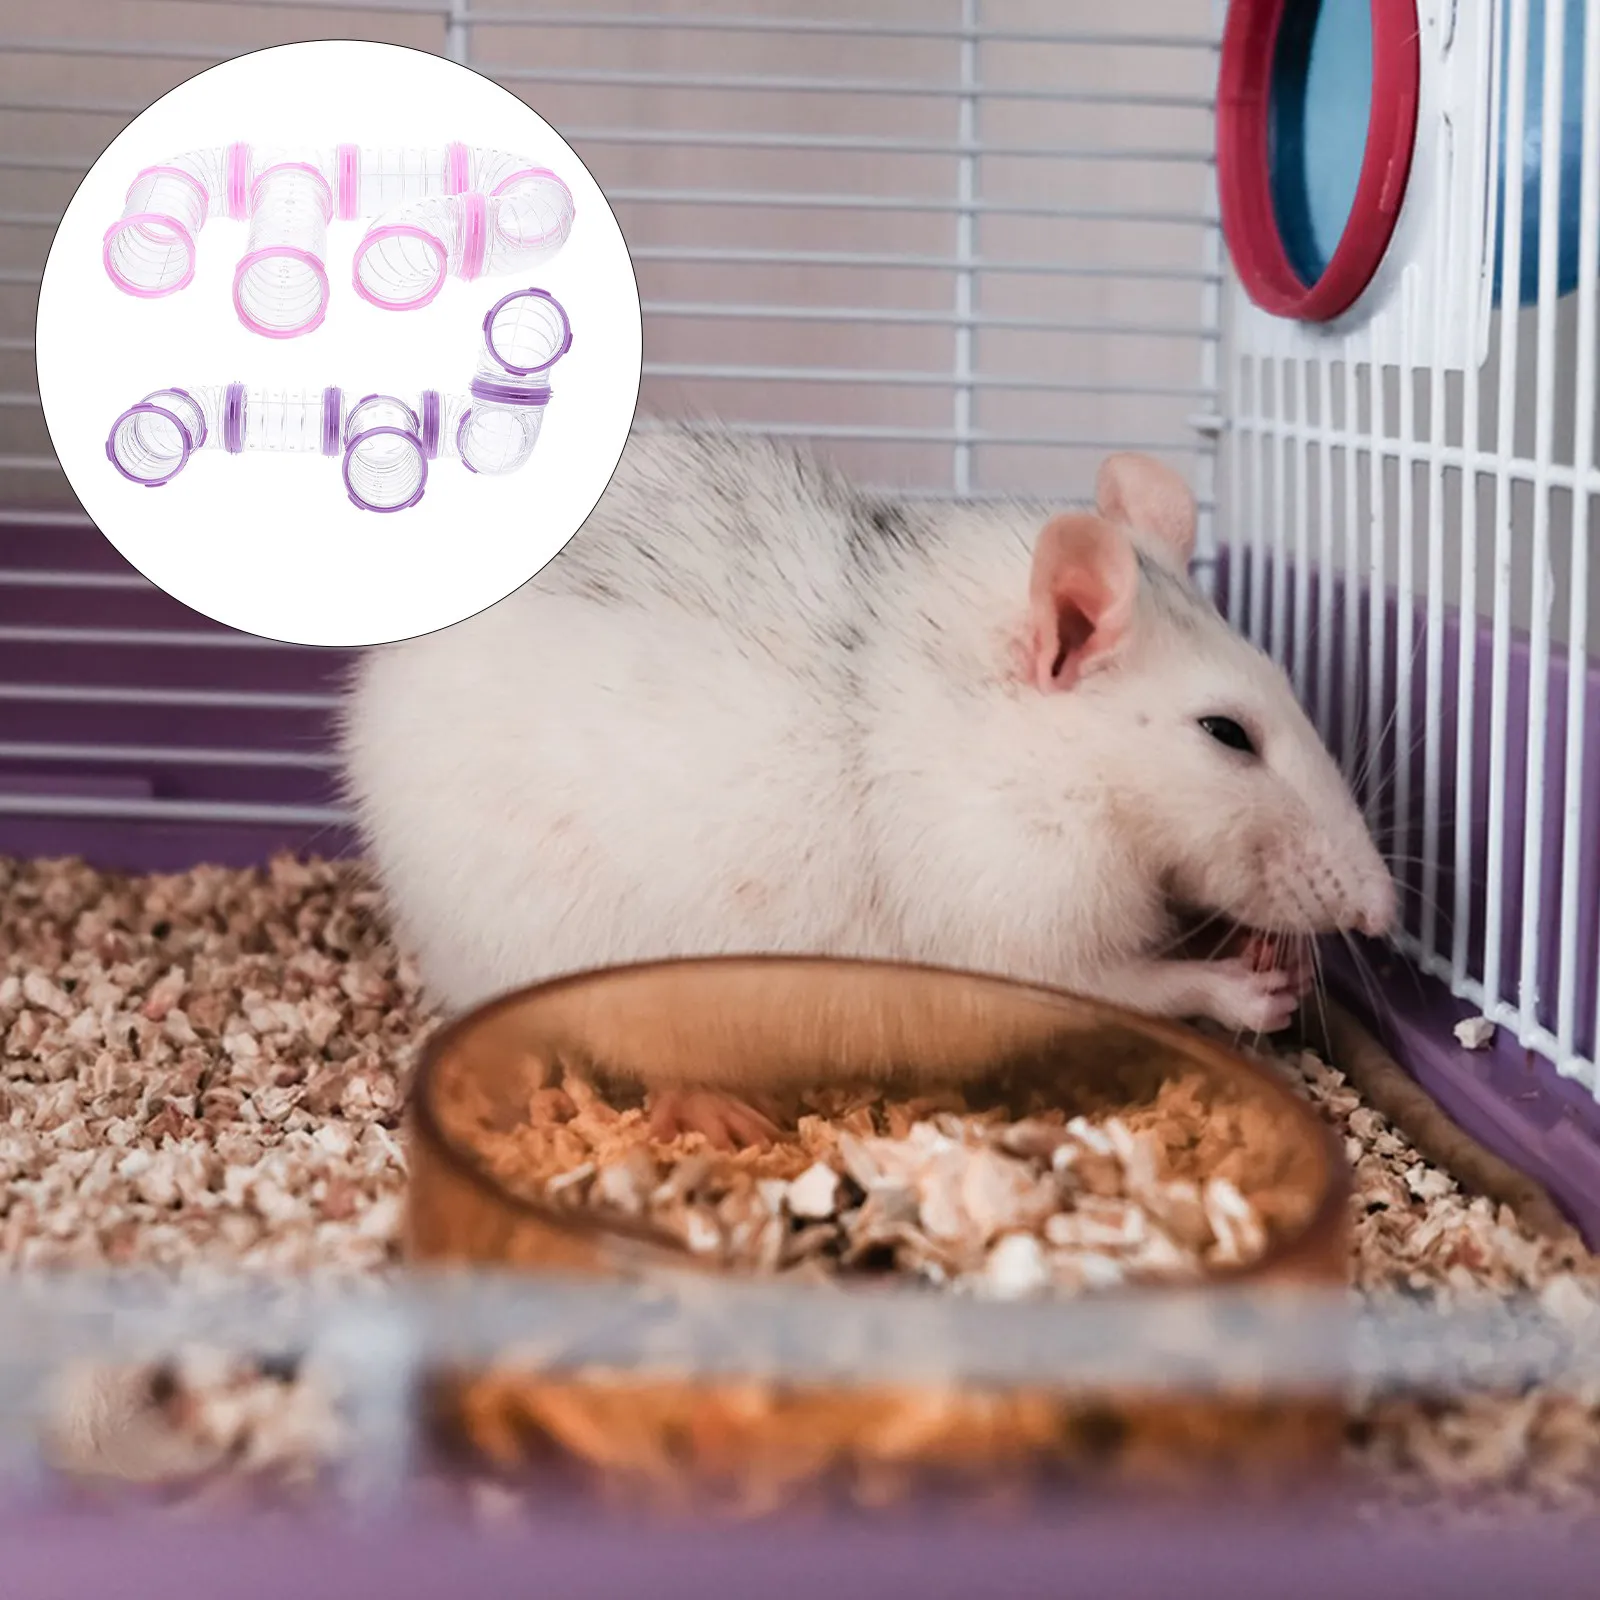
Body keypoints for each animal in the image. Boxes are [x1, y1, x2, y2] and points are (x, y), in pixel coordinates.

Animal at [340, 425, 1395, 1135]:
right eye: (1226, 734)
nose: (1381, 912)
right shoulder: (1016, 920)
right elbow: (1130, 985)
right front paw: (1246, 990)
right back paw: (713, 1108)